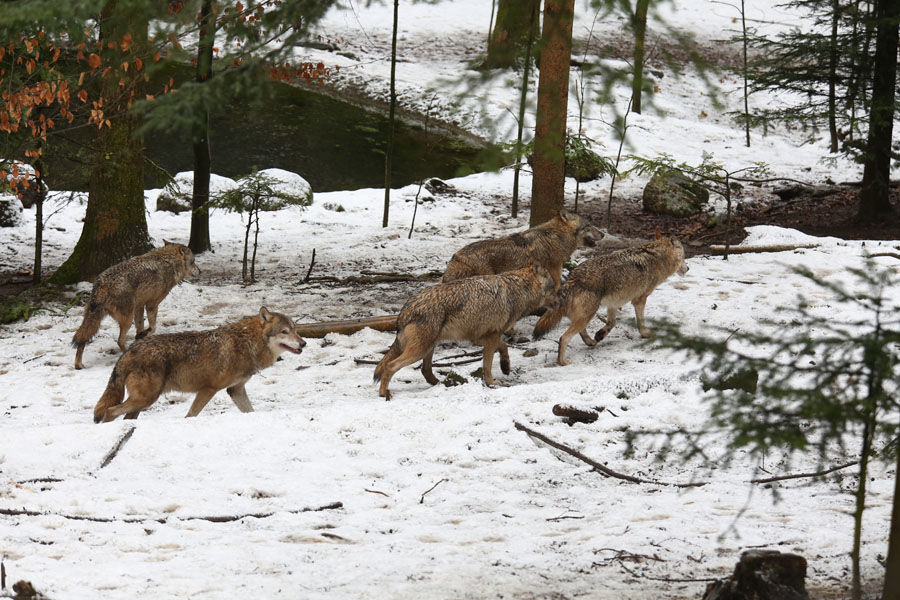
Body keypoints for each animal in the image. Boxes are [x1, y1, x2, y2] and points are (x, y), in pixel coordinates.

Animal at [73, 241, 200, 370]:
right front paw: (144, 335)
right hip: (127, 320)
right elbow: (153, 327)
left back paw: (78, 364)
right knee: (119, 341)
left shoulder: (139, 306)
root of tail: (102, 284)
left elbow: (140, 327)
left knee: (82, 339)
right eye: (193, 261)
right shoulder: (152, 304)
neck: (169, 262)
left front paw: (140, 337)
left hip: (93, 319)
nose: (200, 271)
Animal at [93, 307, 305, 422]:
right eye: (284, 332)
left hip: (142, 403)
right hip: (144, 400)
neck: (247, 343)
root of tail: (129, 351)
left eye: (295, 330)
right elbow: (191, 415)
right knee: (110, 412)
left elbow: (250, 411)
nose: (303, 343)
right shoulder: (208, 389)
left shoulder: (235, 390)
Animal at [374, 261, 556, 400]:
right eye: (554, 288)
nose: (560, 299)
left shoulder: (480, 337)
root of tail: (405, 310)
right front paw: (492, 383)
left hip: (429, 347)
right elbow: (488, 365)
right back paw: (383, 393)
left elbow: (503, 346)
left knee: (425, 370)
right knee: (390, 366)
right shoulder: (490, 337)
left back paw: (440, 383)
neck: (518, 289)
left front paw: (505, 366)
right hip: (419, 350)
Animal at [532, 237, 688, 365]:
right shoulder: (640, 300)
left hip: (585, 315)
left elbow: (612, 323)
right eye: (684, 257)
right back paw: (562, 362)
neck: (658, 258)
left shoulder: (614, 302)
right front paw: (646, 334)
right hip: (587, 315)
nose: (688, 268)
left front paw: (600, 334)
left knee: (581, 332)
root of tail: (572, 278)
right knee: (563, 338)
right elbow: (640, 322)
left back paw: (591, 342)